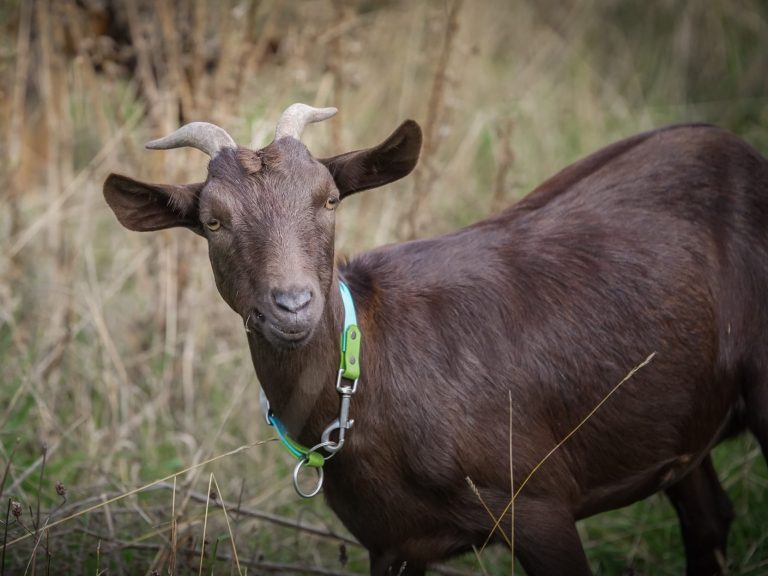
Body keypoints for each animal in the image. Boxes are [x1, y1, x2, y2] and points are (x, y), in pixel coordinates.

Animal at [103, 103, 768, 575]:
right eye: (213, 222)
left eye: (330, 198)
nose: (292, 305)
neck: (372, 372)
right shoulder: (393, 543)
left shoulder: (536, 501)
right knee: (708, 520)